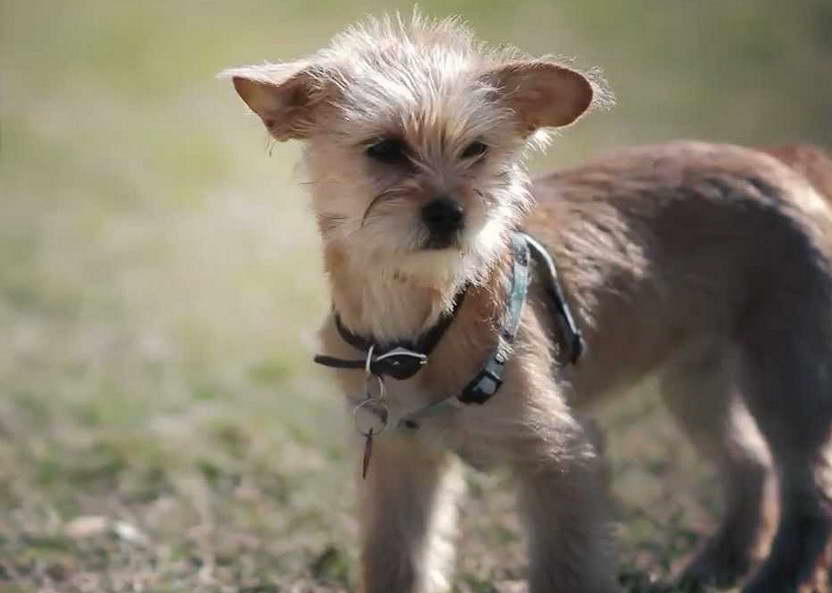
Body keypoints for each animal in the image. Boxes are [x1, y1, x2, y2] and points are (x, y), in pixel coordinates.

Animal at [224, 12, 832, 592]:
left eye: (476, 150)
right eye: (384, 150)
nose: (449, 213)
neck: (428, 318)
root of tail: (784, 164)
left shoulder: (560, 456)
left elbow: (564, 570)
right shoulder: (401, 460)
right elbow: (399, 562)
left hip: (787, 379)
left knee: (810, 490)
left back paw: (778, 578)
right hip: (698, 382)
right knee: (751, 465)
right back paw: (720, 563)